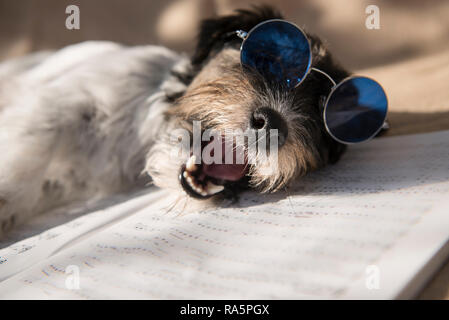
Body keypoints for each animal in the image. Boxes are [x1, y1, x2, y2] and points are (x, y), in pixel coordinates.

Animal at [0, 5, 346, 235]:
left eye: (321, 118)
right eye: (270, 60)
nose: (273, 123)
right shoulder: (62, 102)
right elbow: (37, 146)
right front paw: (6, 199)